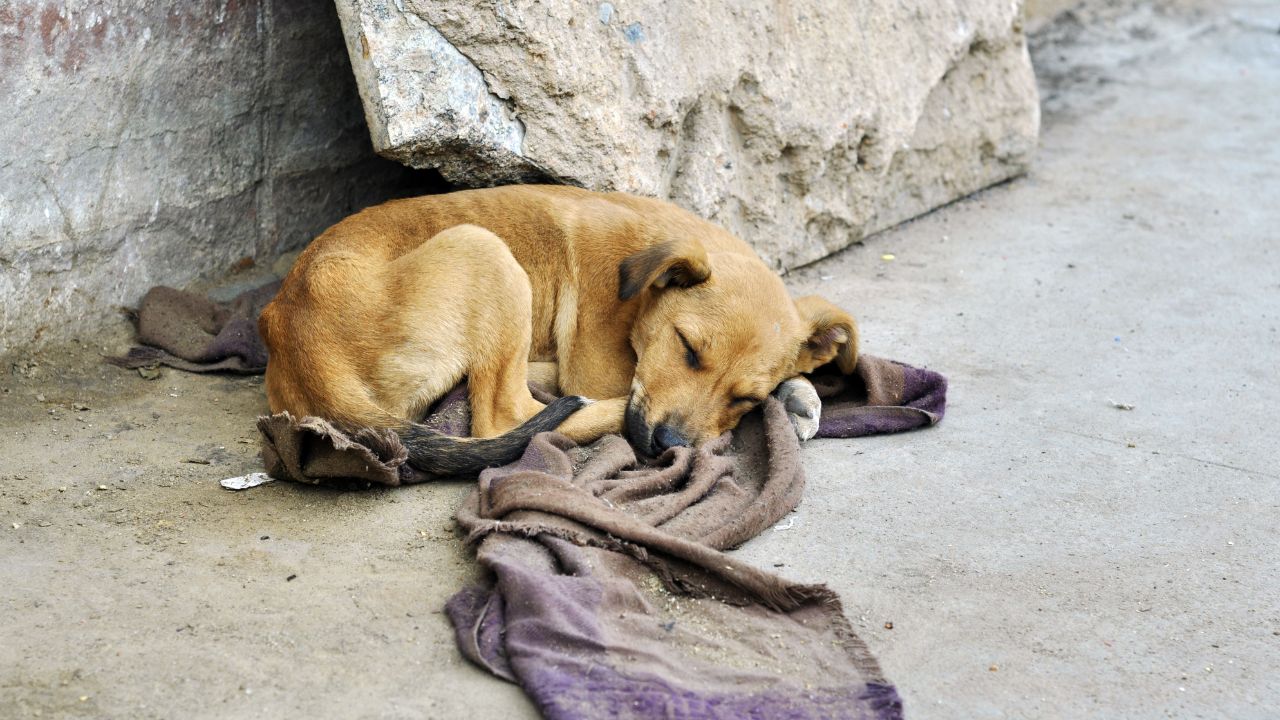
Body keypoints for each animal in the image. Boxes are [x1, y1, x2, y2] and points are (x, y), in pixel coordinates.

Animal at [258, 188, 855, 474]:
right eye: (687, 348)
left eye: (744, 397)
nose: (667, 447)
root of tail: (299, 340)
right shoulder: (603, 367)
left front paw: (797, 392)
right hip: (485, 251)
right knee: (506, 417)